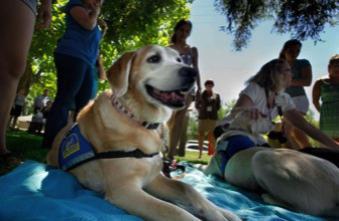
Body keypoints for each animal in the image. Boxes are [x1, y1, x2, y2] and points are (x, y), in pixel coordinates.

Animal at [46, 45, 240, 221]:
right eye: (153, 59)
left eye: (179, 60)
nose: (191, 72)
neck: (141, 122)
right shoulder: (125, 190)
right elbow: (173, 210)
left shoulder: (154, 179)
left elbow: (188, 188)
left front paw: (219, 213)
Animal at [206, 109, 339, 217]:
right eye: (262, 116)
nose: (275, 122)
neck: (239, 130)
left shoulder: (210, 167)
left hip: (260, 157)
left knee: (304, 210)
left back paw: (267, 196)